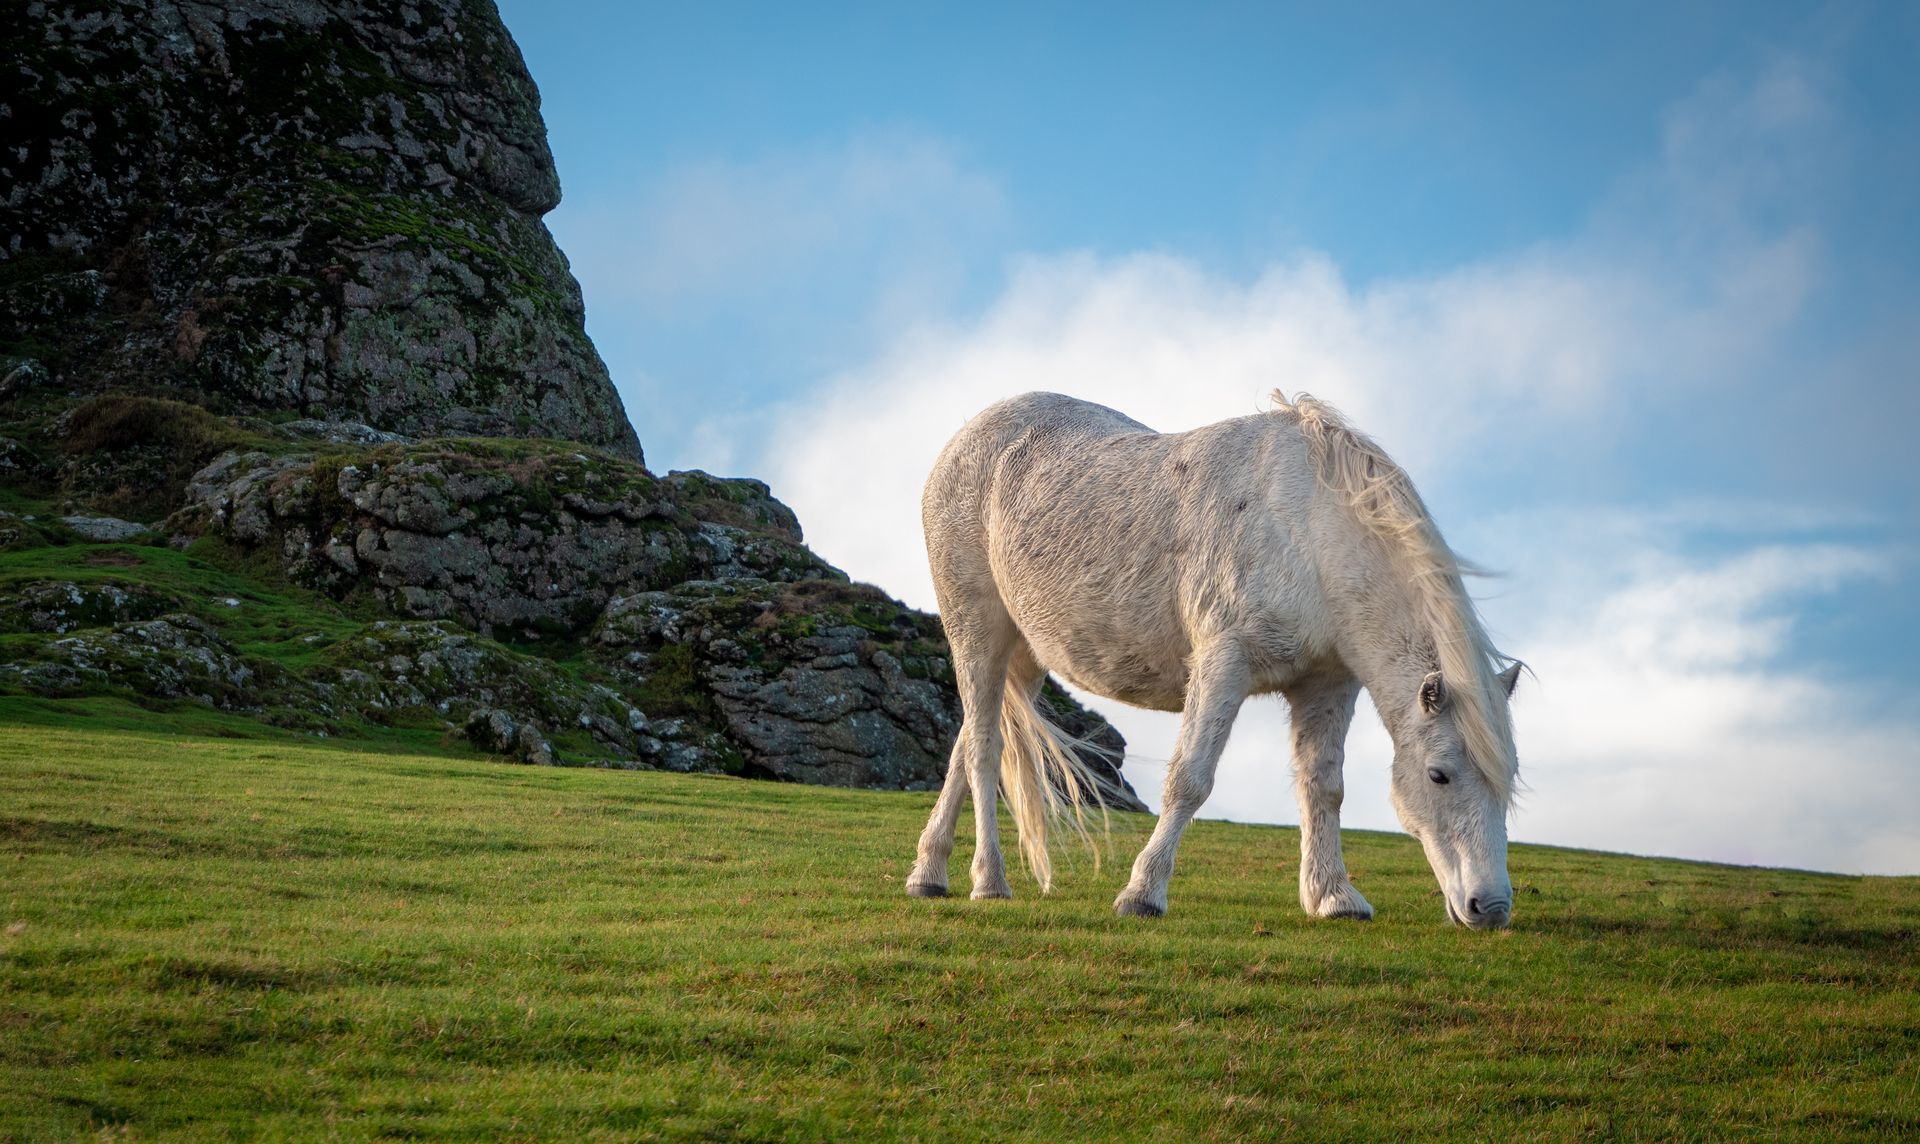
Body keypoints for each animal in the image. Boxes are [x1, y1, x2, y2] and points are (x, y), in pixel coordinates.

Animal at [904, 391, 1523, 928]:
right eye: (1439, 775)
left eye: (1508, 783)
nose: (1490, 908)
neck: (1306, 529)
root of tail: (969, 435)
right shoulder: (1223, 663)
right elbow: (1190, 780)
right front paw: (1142, 892)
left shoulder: (1327, 684)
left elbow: (1324, 787)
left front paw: (1333, 896)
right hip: (977, 631)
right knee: (984, 751)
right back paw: (988, 880)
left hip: (1026, 653)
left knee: (966, 743)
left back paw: (928, 873)